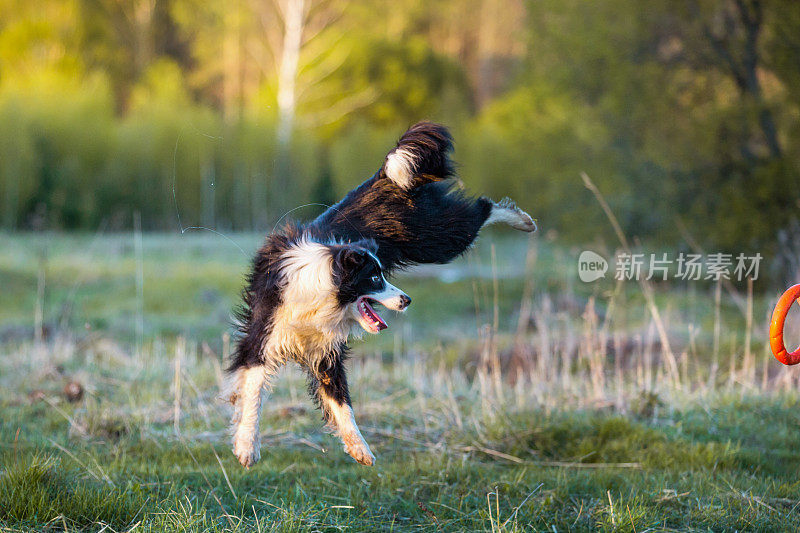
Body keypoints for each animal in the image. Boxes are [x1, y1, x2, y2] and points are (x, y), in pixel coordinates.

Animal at [227, 120, 536, 466]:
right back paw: (523, 221)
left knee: (480, 209)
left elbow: (342, 402)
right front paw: (246, 446)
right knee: (478, 211)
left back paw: (523, 220)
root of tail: (385, 177)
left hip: (432, 238)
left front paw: (360, 449)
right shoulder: (265, 334)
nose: (407, 300)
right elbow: (253, 390)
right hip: (434, 238)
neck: (321, 289)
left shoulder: (326, 350)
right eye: (374, 278)